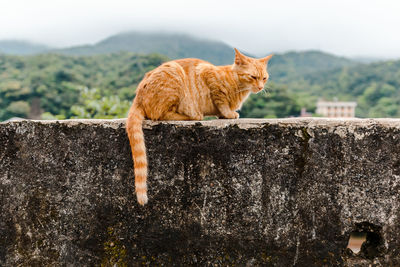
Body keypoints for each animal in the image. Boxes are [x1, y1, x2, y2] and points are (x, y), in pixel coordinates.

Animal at [126, 49, 274, 206]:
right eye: (253, 77)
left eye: (264, 78)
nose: (260, 87)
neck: (238, 87)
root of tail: (137, 97)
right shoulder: (208, 75)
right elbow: (221, 102)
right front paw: (228, 113)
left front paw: (224, 115)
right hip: (174, 73)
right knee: (159, 114)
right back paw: (194, 115)